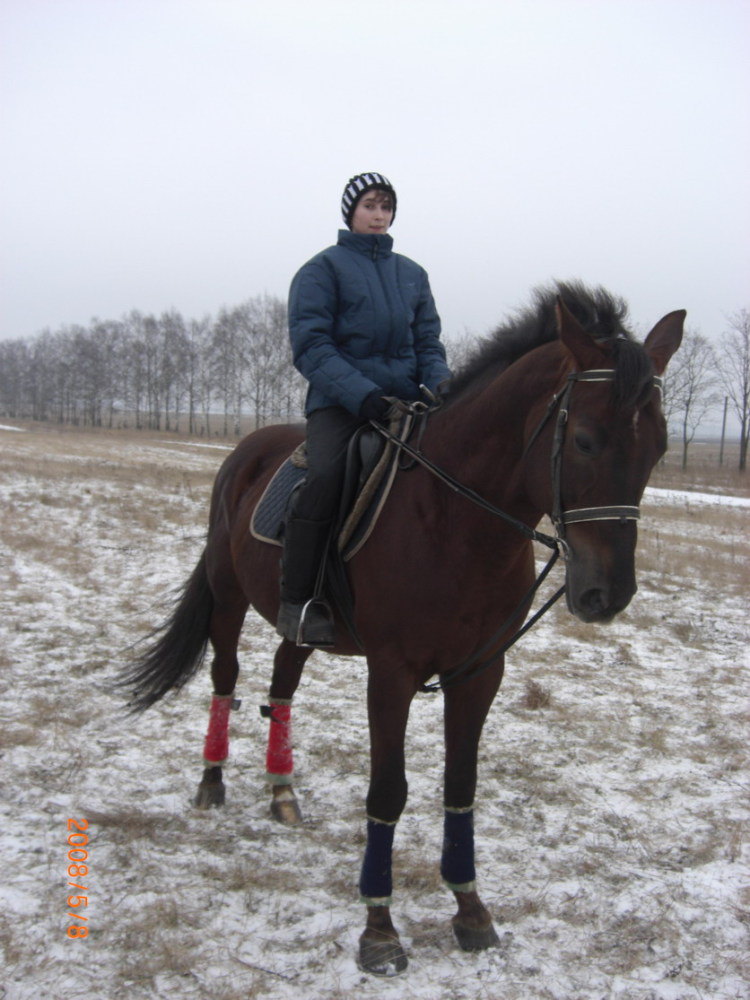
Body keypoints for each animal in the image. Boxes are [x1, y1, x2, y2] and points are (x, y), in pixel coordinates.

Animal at [120, 282, 684, 976]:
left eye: (659, 447)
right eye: (582, 440)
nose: (608, 595)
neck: (454, 519)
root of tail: (245, 452)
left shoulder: (479, 673)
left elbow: (460, 786)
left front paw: (470, 911)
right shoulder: (391, 674)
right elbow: (387, 792)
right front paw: (379, 928)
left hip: (299, 624)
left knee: (281, 683)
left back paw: (282, 792)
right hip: (228, 603)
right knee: (225, 679)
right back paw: (212, 782)